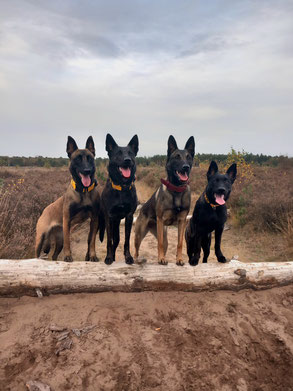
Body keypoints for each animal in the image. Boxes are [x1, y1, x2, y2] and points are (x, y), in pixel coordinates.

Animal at [35, 136, 101, 264]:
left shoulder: (94, 219)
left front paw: (92, 256)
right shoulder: (67, 219)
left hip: (58, 242)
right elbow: (68, 242)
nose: (87, 170)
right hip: (40, 238)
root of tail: (44, 210)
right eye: (77, 159)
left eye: (90, 158)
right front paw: (68, 256)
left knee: (54, 256)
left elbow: (92, 241)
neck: (83, 191)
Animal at [99, 135, 138, 266]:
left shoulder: (129, 216)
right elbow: (108, 242)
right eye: (118, 153)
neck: (121, 187)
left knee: (116, 242)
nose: (127, 160)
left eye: (130, 153)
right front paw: (108, 257)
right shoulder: (109, 217)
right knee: (111, 242)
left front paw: (128, 257)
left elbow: (127, 240)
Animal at [134, 136, 194, 266]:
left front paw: (179, 259)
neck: (176, 190)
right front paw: (161, 258)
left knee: (164, 244)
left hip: (164, 236)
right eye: (177, 157)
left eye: (188, 157)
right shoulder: (161, 219)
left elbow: (180, 243)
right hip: (139, 235)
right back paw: (137, 260)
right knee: (136, 250)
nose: (186, 167)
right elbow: (159, 243)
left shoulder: (182, 221)